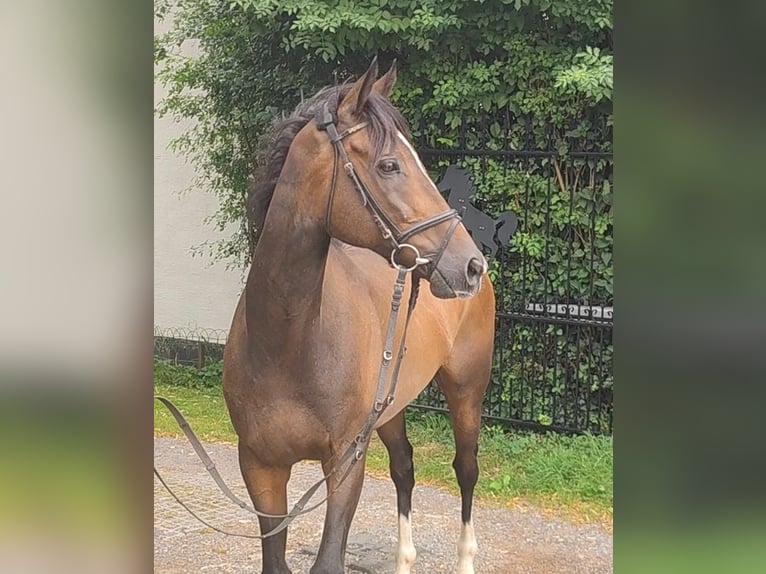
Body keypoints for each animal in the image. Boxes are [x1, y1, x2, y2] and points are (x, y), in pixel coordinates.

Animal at [223, 58, 496, 574]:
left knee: (466, 469)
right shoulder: (261, 468)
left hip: (466, 390)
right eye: (389, 164)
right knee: (404, 467)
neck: (288, 344)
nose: (470, 265)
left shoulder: (345, 464)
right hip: (391, 407)